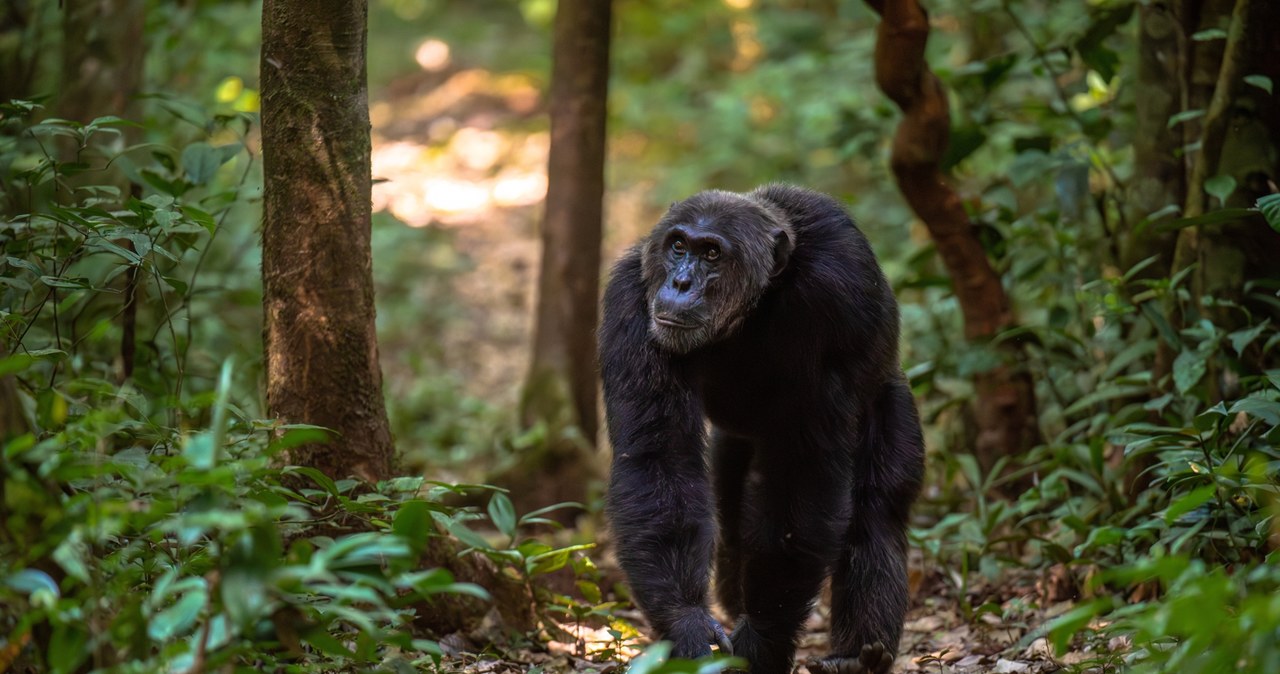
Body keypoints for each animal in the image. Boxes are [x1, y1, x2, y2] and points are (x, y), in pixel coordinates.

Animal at [599, 184, 921, 674]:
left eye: (712, 253)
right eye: (678, 247)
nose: (681, 283)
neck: (754, 306)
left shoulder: (836, 302)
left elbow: (806, 480)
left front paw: (763, 638)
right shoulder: (630, 301)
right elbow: (660, 459)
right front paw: (687, 624)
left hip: (890, 396)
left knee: (876, 510)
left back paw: (857, 657)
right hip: (735, 444)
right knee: (733, 519)